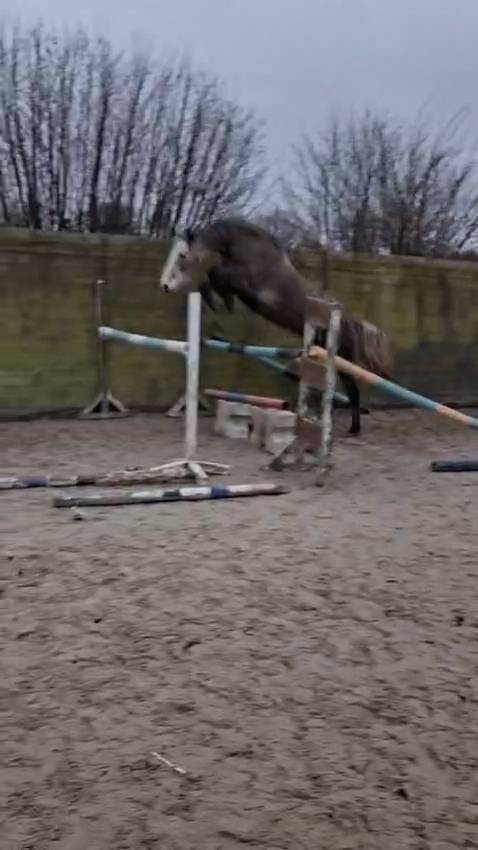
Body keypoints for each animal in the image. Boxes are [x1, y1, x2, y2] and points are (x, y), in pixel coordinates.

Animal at [159, 217, 393, 434]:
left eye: (181, 256)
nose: (166, 286)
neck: (248, 249)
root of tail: (350, 322)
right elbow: (211, 278)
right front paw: (218, 301)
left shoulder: (243, 284)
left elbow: (215, 275)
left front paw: (222, 302)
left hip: (341, 359)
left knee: (353, 392)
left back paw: (353, 428)